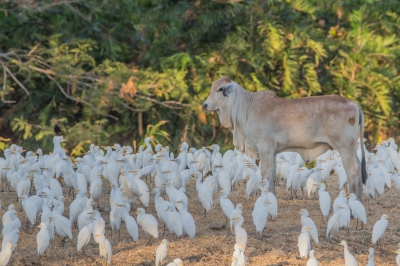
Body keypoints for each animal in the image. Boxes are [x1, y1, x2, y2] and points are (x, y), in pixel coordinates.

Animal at [202, 76, 368, 201]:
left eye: (220, 89)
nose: (205, 105)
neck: (247, 108)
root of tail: (353, 104)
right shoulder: (273, 152)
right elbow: (272, 174)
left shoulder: (265, 147)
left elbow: (266, 174)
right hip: (351, 148)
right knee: (359, 170)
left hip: (345, 147)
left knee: (353, 170)